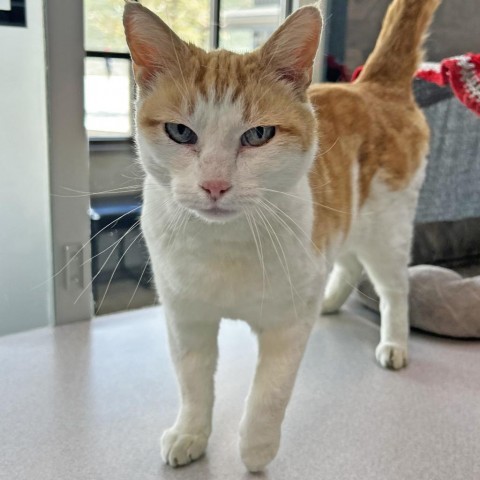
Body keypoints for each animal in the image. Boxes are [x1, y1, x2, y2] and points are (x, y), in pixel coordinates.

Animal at [123, 0, 438, 472]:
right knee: (345, 263)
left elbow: (269, 394)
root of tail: (371, 86)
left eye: (258, 135)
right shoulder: (186, 318)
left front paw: (256, 449)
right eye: (180, 132)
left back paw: (394, 342)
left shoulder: (287, 327)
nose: (215, 185)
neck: (224, 246)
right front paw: (190, 433)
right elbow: (193, 382)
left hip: (387, 232)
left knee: (393, 290)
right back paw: (328, 301)